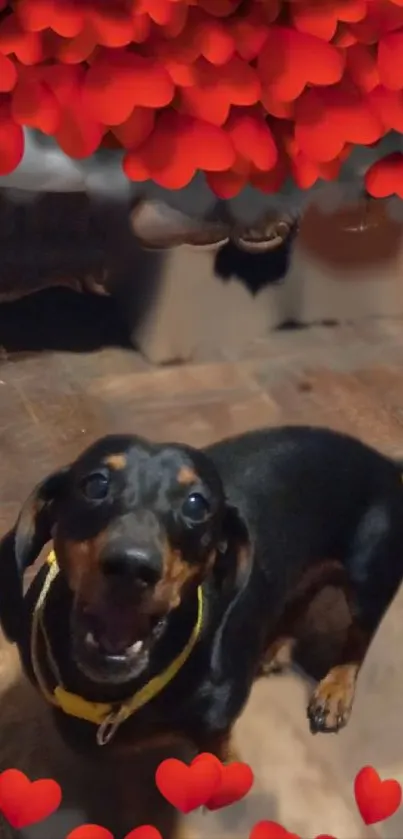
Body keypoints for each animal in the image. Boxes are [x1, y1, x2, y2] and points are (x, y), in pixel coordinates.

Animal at [0, 426, 403, 760]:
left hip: (369, 577)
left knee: (359, 637)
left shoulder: (218, 728)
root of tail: (384, 462)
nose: (131, 567)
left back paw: (336, 689)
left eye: (197, 504)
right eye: (95, 484)